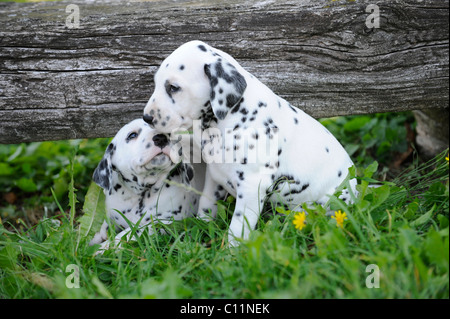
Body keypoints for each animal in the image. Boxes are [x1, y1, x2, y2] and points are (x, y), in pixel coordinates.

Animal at [89, 119, 199, 254]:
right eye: (132, 135)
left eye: (168, 132)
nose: (161, 138)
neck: (139, 195)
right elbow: (105, 227)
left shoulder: (160, 223)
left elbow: (126, 234)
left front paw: (103, 248)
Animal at [142, 40, 356, 248]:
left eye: (173, 87)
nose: (146, 117)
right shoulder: (214, 176)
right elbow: (206, 204)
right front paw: (201, 229)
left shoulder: (252, 187)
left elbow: (238, 227)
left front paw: (230, 252)